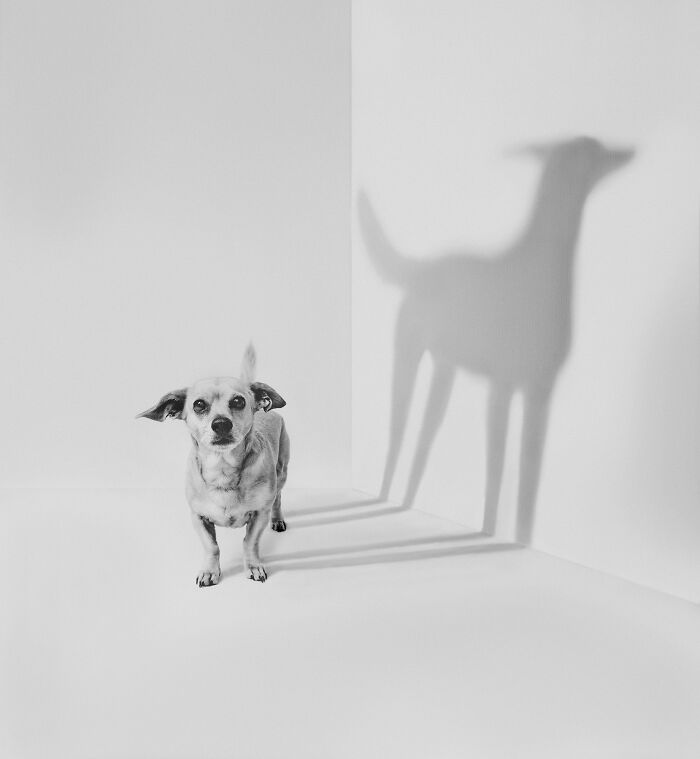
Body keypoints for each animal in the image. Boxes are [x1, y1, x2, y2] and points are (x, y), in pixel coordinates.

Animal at [137, 346, 290, 588]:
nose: (221, 423)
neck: (222, 470)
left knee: (278, 498)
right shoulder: (198, 517)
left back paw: (278, 520)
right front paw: (210, 571)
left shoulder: (260, 514)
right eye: (199, 405)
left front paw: (253, 567)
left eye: (238, 401)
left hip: (282, 471)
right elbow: (212, 547)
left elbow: (249, 542)